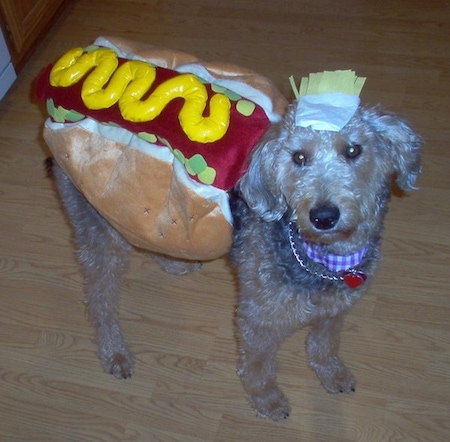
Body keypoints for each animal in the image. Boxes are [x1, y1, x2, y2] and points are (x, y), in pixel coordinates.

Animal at [50, 95, 422, 420]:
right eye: (299, 157)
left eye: (353, 150)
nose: (324, 216)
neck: (325, 260)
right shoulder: (257, 319)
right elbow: (258, 367)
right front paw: (268, 402)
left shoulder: (336, 308)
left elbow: (325, 344)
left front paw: (333, 375)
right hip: (102, 231)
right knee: (99, 302)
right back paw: (114, 352)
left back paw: (175, 263)